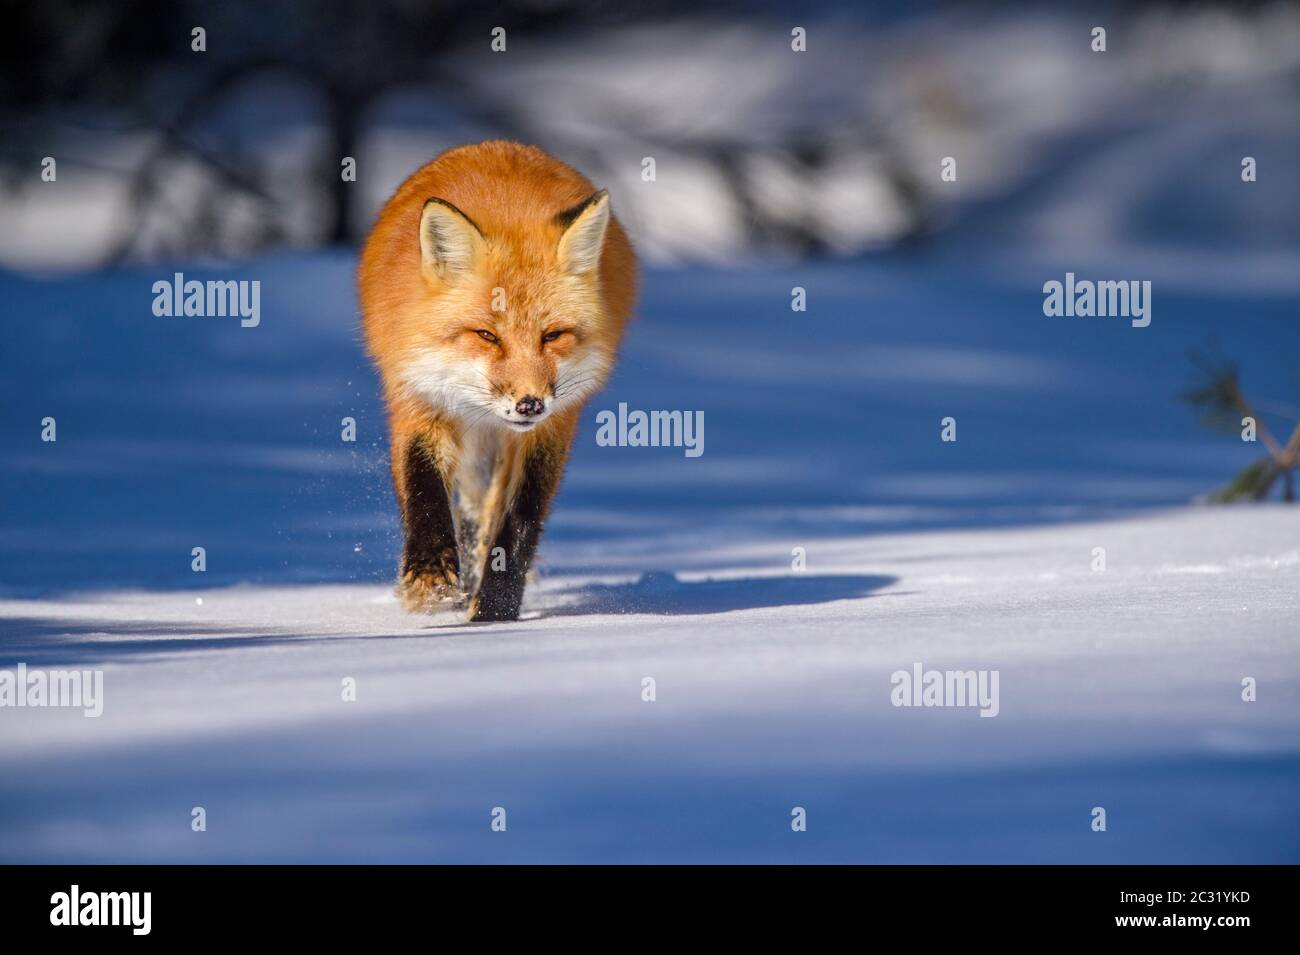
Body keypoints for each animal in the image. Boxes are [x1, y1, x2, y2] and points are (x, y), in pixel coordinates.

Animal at [358, 141, 637, 622]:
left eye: (552, 336)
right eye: (487, 336)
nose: (529, 404)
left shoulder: (553, 426)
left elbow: (521, 517)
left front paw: (495, 611)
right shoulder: (417, 396)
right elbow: (423, 486)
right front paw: (430, 577)